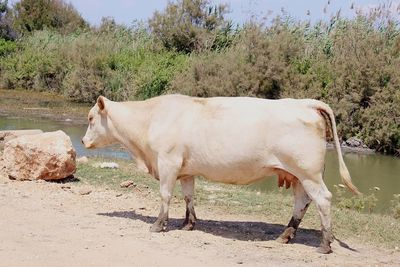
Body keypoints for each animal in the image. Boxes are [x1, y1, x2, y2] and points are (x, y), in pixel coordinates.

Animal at [81, 94, 360, 255]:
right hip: (299, 175)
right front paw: (188, 224)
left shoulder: (168, 162)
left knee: (323, 199)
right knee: (302, 202)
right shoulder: (186, 170)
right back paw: (285, 236)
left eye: (91, 117)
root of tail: (306, 102)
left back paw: (324, 245)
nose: (83, 141)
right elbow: (188, 196)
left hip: (309, 172)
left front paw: (159, 225)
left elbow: (165, 195)